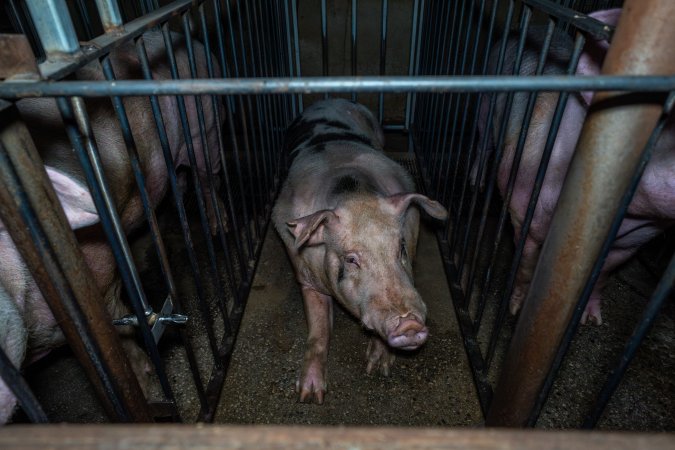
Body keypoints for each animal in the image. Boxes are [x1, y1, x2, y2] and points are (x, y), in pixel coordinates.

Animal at [0, 29, 227, 424]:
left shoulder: (100, 269)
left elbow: (120, 334)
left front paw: (146, 389)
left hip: (206, 124)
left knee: (206, 177)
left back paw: (218, 227)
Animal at [272, 99, 452, 404]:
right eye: (351, 259)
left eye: (400, 248)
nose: (409, 325)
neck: (354, 194)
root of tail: (331, 100)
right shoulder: (305, 275)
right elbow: (319, 329)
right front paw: (310, 396)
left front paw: (378, 368)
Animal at [476, 8, 675, 326]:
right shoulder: (525, 201)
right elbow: (526, 263)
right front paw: (517, 310)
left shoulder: (633, 241)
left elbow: (603, 275)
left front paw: (593, 320)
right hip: (487, 97)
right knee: (483, 142)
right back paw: (478, 182)